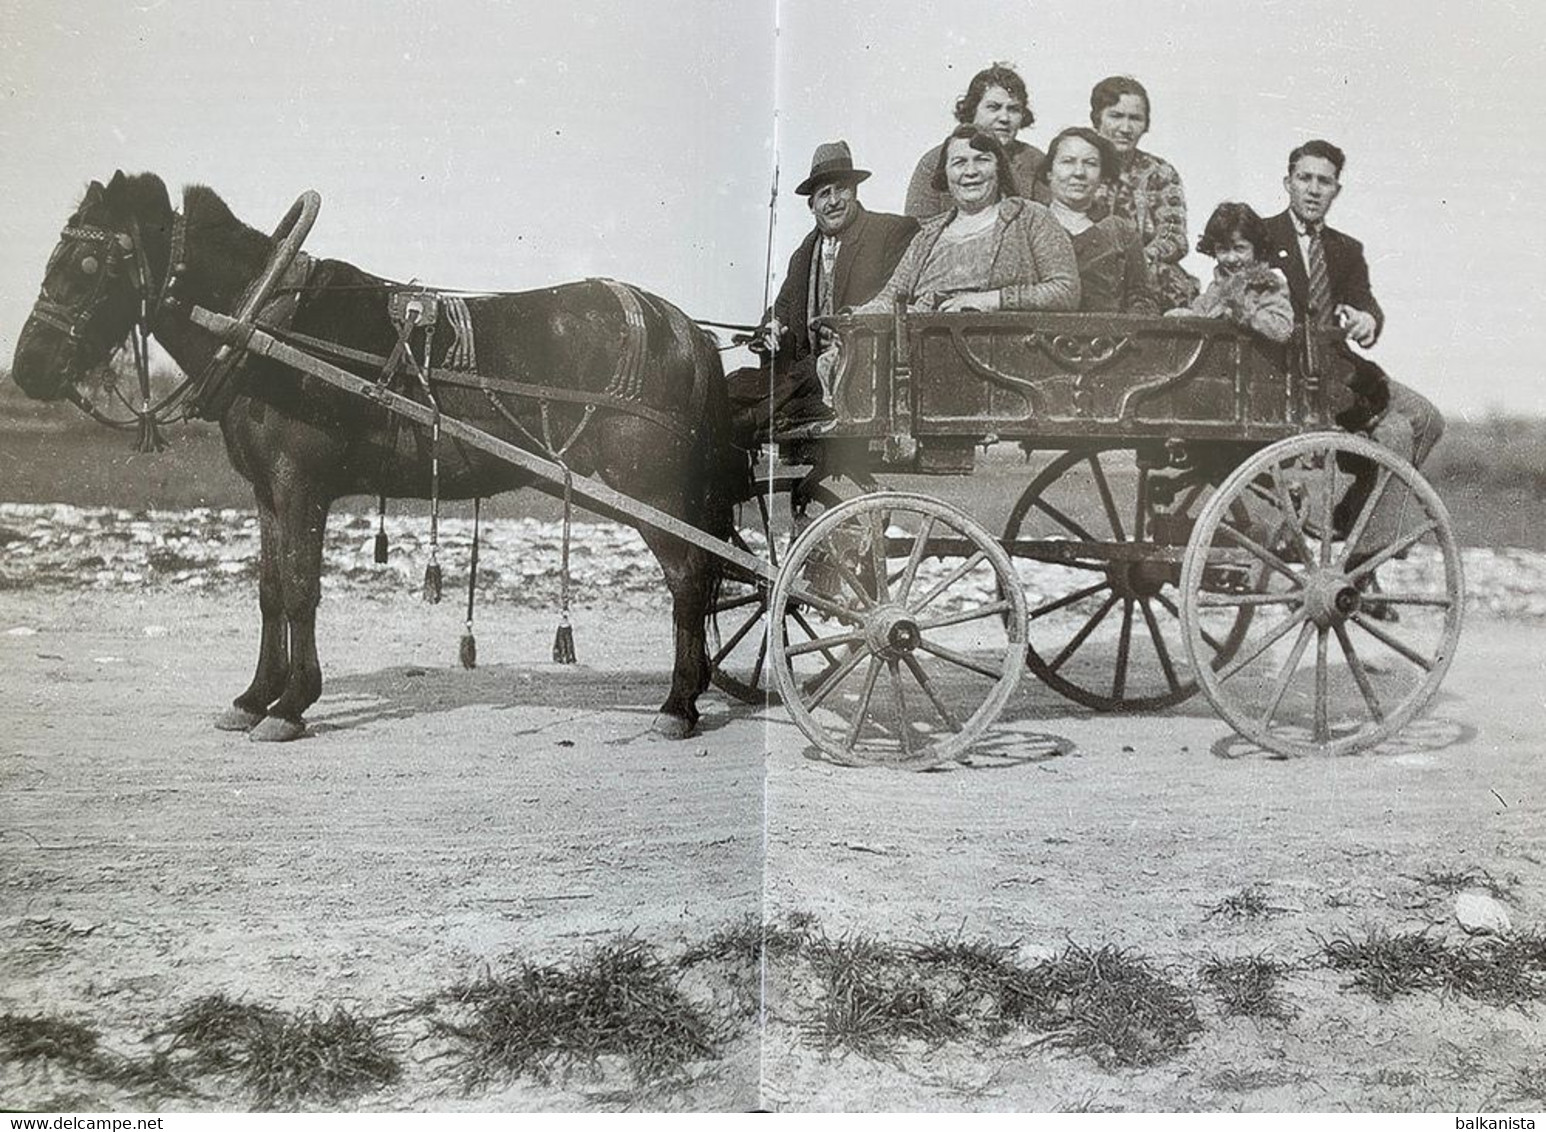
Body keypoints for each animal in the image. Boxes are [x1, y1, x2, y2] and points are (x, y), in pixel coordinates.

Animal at [12, 170, 745, 742]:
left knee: (688, 578)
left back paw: (679, 704)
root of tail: (686, 328)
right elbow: (270, 590)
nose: (27, 369)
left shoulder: (300, 484)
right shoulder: (265, 490)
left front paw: (291, 704)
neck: (266, 327)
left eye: (90, 267)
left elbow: (301, 589)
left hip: (652, 491)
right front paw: (253, 698)